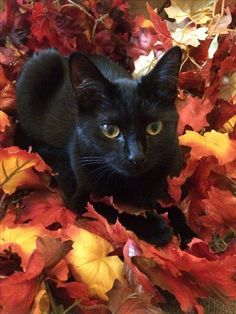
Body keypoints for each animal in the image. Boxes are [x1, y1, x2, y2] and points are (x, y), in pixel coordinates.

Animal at [15, 46, 187, 245]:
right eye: (110, 130)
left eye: (154, 127)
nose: (136, 157)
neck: (133, 182)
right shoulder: (81, 198)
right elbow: (115, 210)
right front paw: (157, 228)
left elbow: (172, 207)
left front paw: (189, 233)